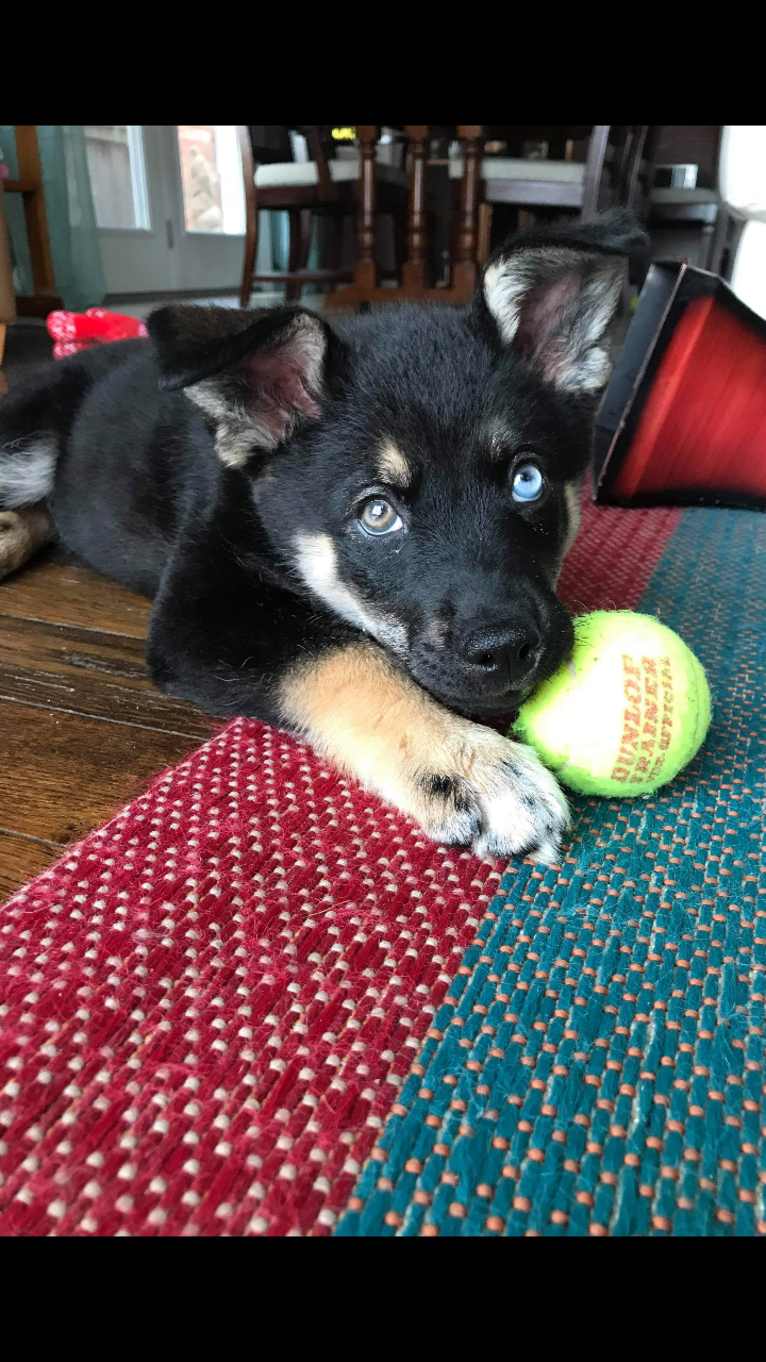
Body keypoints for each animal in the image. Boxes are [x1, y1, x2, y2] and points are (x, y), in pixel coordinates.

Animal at [0, 207, 640, 855]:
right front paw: (470, 763)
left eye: (527, 480)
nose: (505, 649)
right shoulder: (196, 613)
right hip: (24, 446)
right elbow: (344, 655)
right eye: (377, 514)